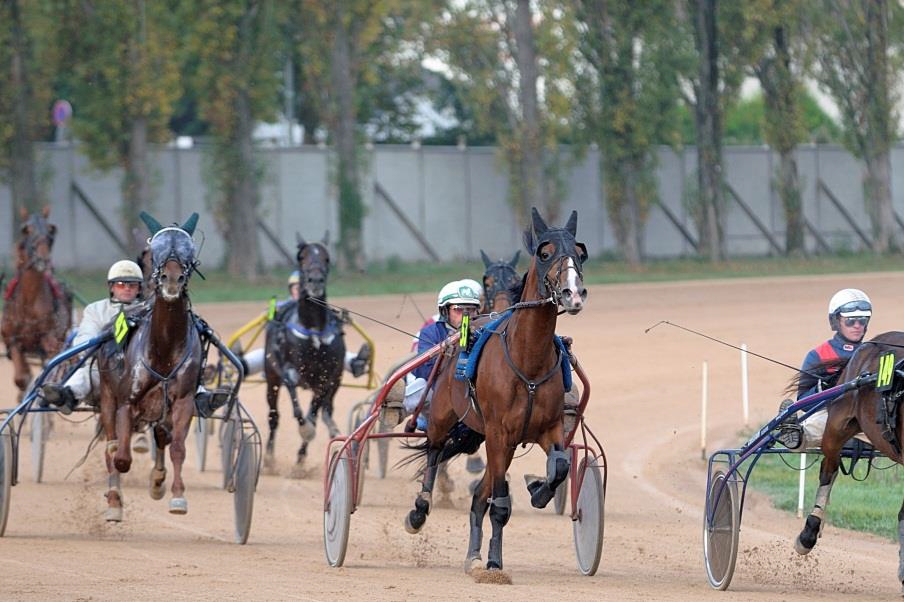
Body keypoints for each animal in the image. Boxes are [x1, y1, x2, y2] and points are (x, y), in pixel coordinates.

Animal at [1, 206, 71, 394]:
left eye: (51, 229)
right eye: (26, 229)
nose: (42, 260)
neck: (29, 303)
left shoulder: (50, 339)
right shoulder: (13, 342)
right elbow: (21, 377)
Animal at [95, 212, 201, 520]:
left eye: (189, 250)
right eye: (156, 251)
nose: (172, 279)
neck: (163, 350)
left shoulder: (183, 401)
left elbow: (177, 447)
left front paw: (175, 494)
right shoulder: (126, 401)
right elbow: (120, 456)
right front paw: (114, 499)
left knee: (162, 435)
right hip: (106, 395)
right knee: (112, 444)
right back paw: (114, 499)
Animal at [264, 232, 346, 472]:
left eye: (327, 258)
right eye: (301, 257)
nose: (316, 281)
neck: (313, 330)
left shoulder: (326, 378)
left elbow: (313, 414)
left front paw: (302, 454)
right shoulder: (288, 370)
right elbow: (298, 409)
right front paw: (304, 428)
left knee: (323, 411)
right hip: (271, 377)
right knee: (274, 416)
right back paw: (269, 458)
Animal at [402, 207, 588, 572]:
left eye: (580, 252)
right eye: (545, 253)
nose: (573, 293)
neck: (528, 362)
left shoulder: (546, 428)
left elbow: (559, 466)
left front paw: (538, 489)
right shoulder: (499, 431)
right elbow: (500, 504)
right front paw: (494, 563)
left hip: (501, 441)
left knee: (478, 496)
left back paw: (472, 553)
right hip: (445, 415)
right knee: (434, 451)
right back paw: (420, 510)